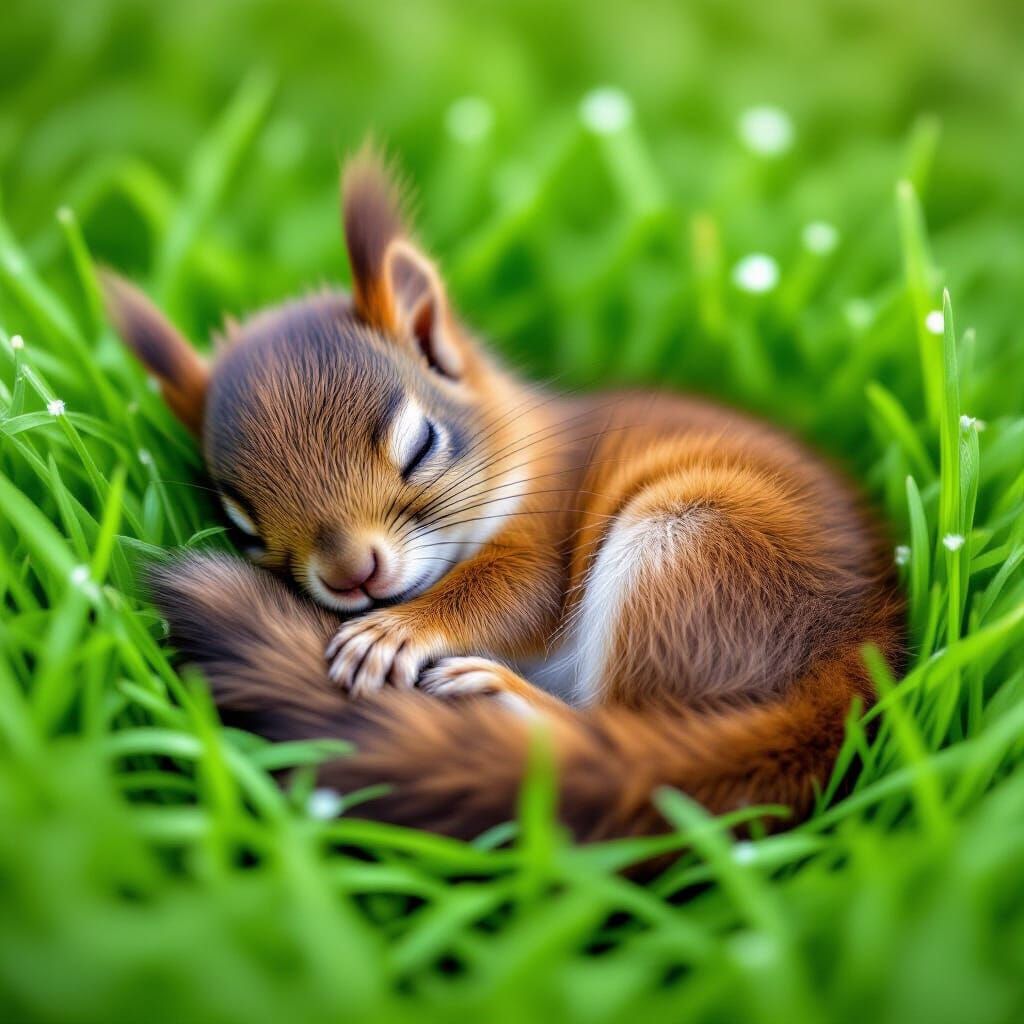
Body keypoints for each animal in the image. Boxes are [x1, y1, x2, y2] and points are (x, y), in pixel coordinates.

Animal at [103, 146, 904, 843]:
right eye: (243, 528)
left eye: (422, 444)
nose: (353, 577)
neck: (518, 442)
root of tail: (847, 668)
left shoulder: (546, 530)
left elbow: (513, 591)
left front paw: (397, 632)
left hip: (688, 550)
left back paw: (508, 699)